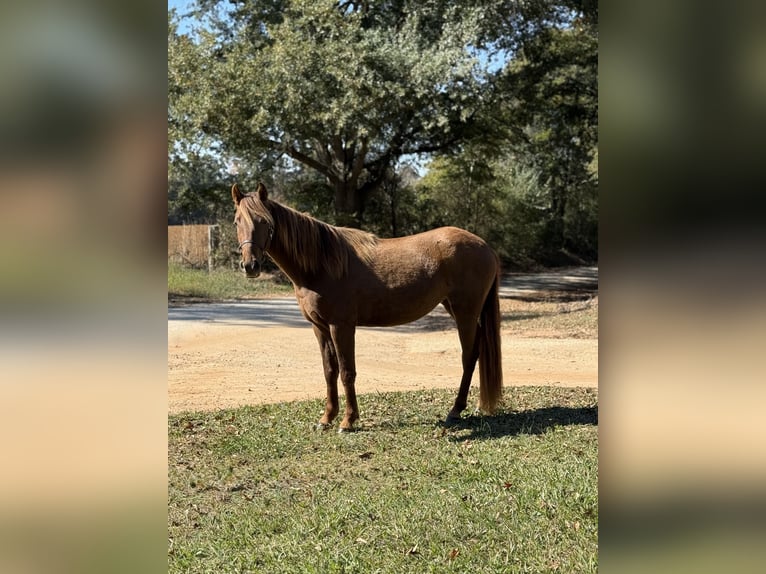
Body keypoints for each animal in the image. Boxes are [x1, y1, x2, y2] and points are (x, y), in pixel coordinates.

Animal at [232, 182, 503, 432]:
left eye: (264, 222)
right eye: (237, 222)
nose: (250, 266)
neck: (321, 265)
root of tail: (486, 247)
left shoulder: (341, 326)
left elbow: (346, 372)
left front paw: (348, 421)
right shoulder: (319, 327)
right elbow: (329, 371)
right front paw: (327, 418)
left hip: (465, 313)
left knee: (469, 356)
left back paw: (455, 410)